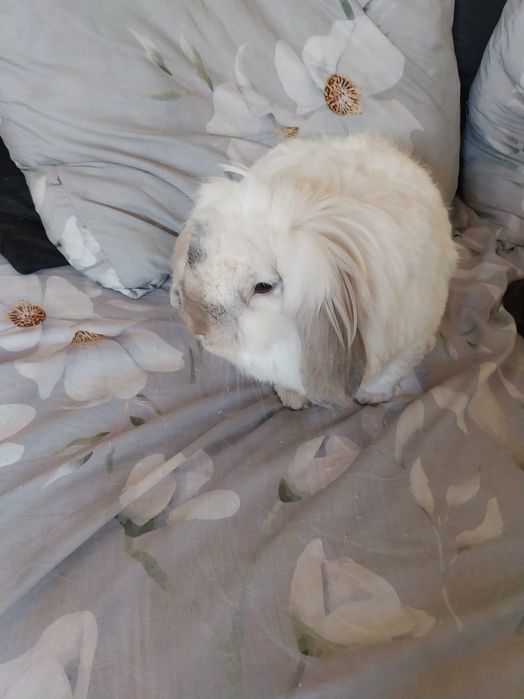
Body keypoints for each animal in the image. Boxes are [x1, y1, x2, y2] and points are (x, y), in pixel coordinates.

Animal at [170, 134, 457, 409]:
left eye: (264, 287)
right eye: (196, 256)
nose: (196, 327)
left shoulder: (407, 348)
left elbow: (387, 378)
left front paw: (371, 398)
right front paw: (292, 399)